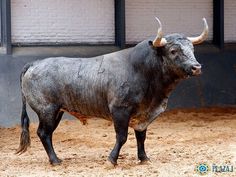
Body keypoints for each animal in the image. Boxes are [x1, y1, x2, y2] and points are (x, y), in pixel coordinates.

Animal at [16, 17, 208, 165]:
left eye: (192, 49)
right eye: (173, 50)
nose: (196, 67)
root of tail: (34, 63)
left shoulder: (143, 114)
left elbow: (141, 136)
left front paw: (144, 158)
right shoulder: (120, 110)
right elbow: (122, 136)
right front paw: (112, 160)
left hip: (57, 112)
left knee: (46, 134)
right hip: (47, 110)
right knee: (43, 133)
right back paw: (55, 161)